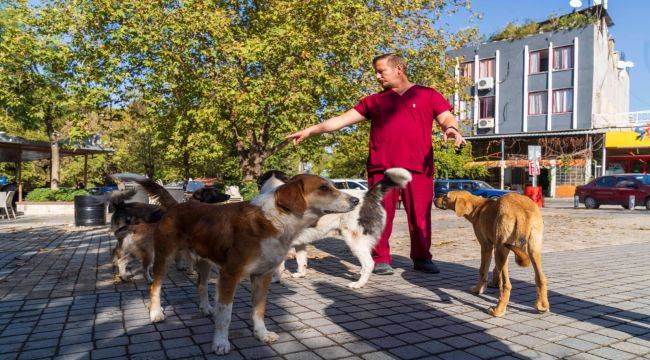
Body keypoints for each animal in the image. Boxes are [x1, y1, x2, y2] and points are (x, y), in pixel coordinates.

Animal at [129, 174, 356, 354]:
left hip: (205, 261)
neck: (276, 220)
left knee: (201, 286)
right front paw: (220, 343)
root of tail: (178, 205)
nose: (355, 200)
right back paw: (156, 313)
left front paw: (262, 334)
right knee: (155, 286)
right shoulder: (229, 275)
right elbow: (225, 315)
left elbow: (259, 310)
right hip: (164, 257)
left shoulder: (263, 276)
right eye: (324, 188)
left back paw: (206, 308)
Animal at [256, 167, 408, 288]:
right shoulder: (300, 243)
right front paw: (300, 274)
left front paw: (276, 279)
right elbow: (301, 261)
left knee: (369, 263)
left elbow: (278, 268)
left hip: (354, 240)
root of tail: (367, 195)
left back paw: (359, 284)